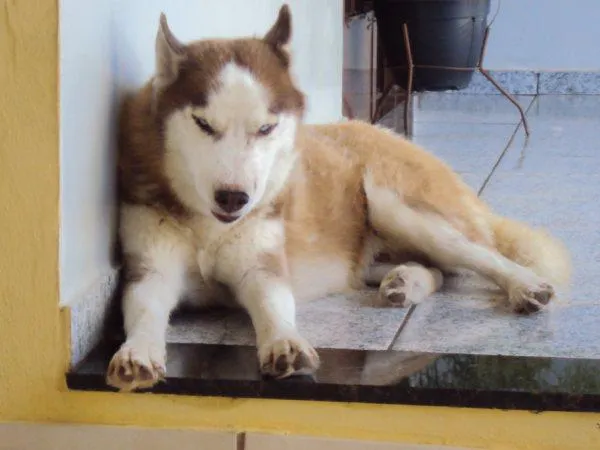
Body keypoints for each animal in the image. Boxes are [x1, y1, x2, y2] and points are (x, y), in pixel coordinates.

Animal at [105, 2, 568, 390]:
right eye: (203, 124)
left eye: (266, 128)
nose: (234, 198)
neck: (209, 226)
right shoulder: (151, 269)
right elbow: (145, 310)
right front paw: (137, 351)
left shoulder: (262, 265)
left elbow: (274, 303)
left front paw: (286, 342)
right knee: (438, 271)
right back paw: (406, 281)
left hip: (392, 205)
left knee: (480, 255)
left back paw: (524, 285)